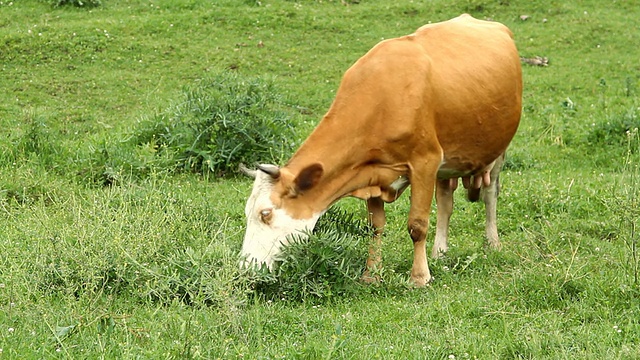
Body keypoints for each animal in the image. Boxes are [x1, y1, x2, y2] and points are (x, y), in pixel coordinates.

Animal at [240, 14, 520, 286]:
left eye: (265, 213)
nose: (246, 268)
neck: (383, 99)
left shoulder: (425, 161)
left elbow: (417, 225)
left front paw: (419, 277)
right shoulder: (371, 169)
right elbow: (375, 226)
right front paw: (371, 274)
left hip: (498, 150)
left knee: (490, 194)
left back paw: (492, 243)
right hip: (450, 158)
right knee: (445, 202)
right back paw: (439, 251)